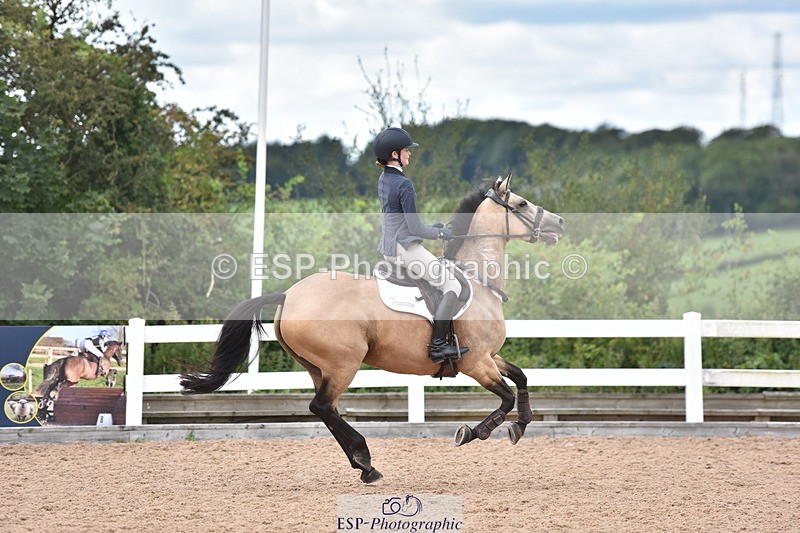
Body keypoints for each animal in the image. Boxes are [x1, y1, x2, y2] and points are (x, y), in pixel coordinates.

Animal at [181, 175, 564, 483]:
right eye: (521, 203)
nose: (559, 222)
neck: (479, 279)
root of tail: (288, 295)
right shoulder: (476, 363)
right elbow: (506, 396)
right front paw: (472, 433)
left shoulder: (490, 356)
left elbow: (521, 377)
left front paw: (521, 425)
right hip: (343, 363)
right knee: (322, 407)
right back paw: (365, 461)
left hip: (318, 367)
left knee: (328, 410)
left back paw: (364, 465)